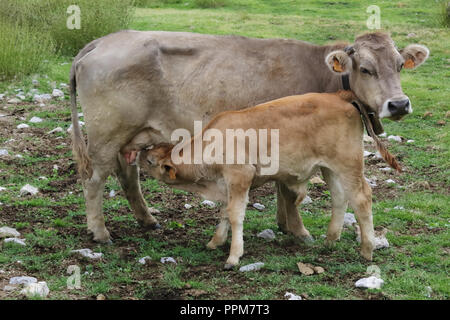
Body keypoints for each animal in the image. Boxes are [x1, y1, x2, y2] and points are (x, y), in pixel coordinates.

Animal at [69, 31, 428, 244]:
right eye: (365, 68)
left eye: (400, 65)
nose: (399, 104)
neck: (322, 74)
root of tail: (105, 40)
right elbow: (290, 192)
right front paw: (298, 231)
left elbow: (285, 188)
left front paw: (285, 224)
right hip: (105, 136)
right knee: (94, 180)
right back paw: (100, 232)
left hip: (131, 137)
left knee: (128, 175)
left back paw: (147, 220)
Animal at [135, 90, 400, 268]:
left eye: (151, 162)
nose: (138, 154)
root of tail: (340, 95)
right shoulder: (226, 183)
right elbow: (225, 211)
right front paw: (215, 241)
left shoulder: (240, 175)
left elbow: (235, 213)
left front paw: (233, 256)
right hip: (330, 168)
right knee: (339, 197)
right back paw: (330, 239)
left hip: (348, 164)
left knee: (362, 198)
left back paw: (367, 249)